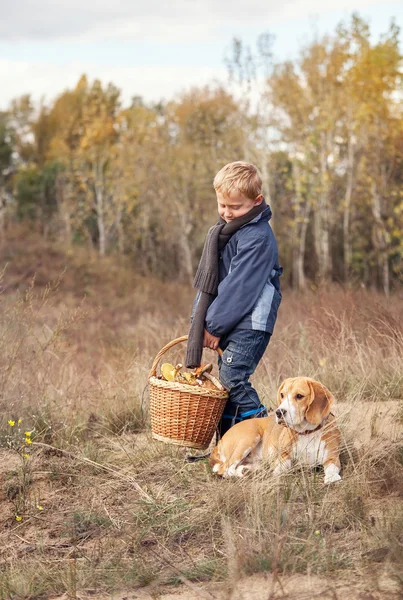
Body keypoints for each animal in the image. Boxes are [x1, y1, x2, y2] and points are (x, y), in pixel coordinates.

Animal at [210, 378, 342, 486]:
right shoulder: (283, 457)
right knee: (225, 469)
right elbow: (281, 468)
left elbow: (331, 468)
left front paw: (331, 477)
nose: (279, 412)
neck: (307, 432)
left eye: (299, 396)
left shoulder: (332, 457)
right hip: (249, 437)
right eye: (282, 395)